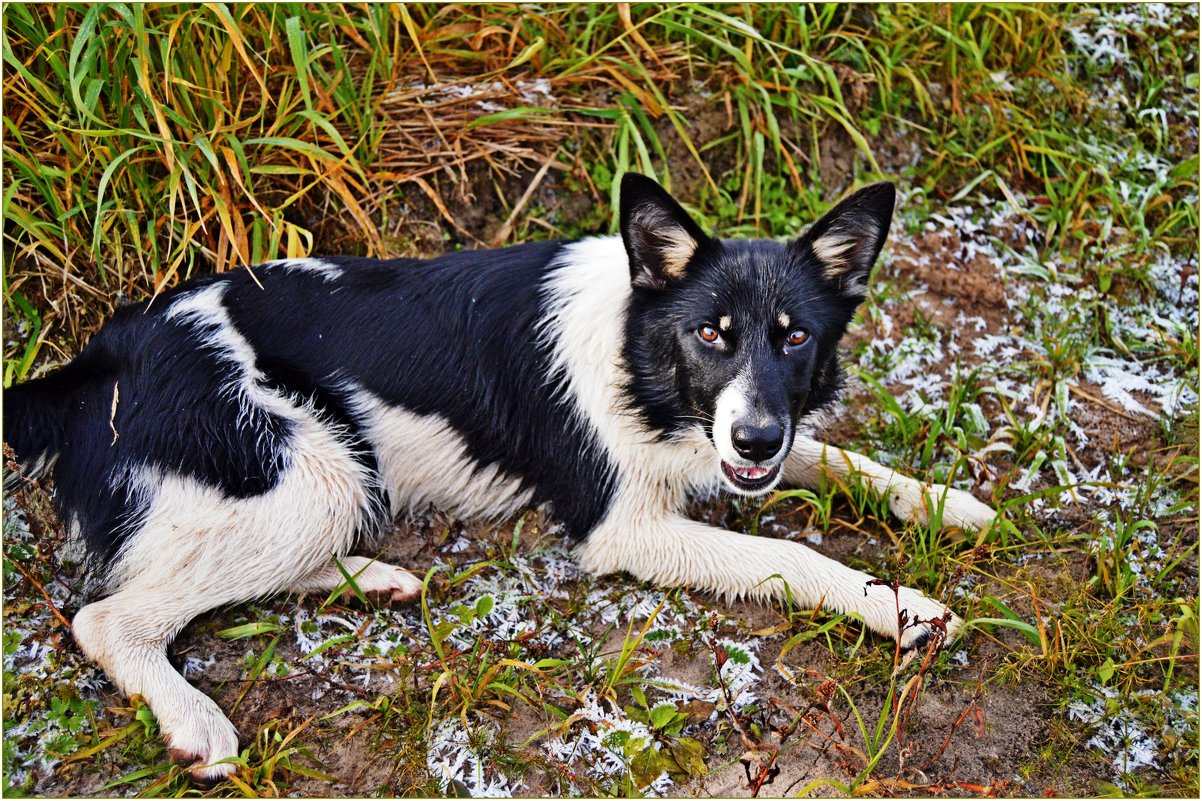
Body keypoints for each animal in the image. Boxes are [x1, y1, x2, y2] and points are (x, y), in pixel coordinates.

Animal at [2, 171, 995, 774]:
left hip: (328, 474)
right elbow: (801, 559)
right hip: (304, 466)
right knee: (110, 618)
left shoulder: (742, 438)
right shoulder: (627, 526)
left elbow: (841, 456)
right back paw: (195, 719)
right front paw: (906, 609)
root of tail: (97, 357)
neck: (640, 358)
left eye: (794, 338)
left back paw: (375, 577)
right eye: (711, 333)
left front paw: (950, 503)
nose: (752, 443)